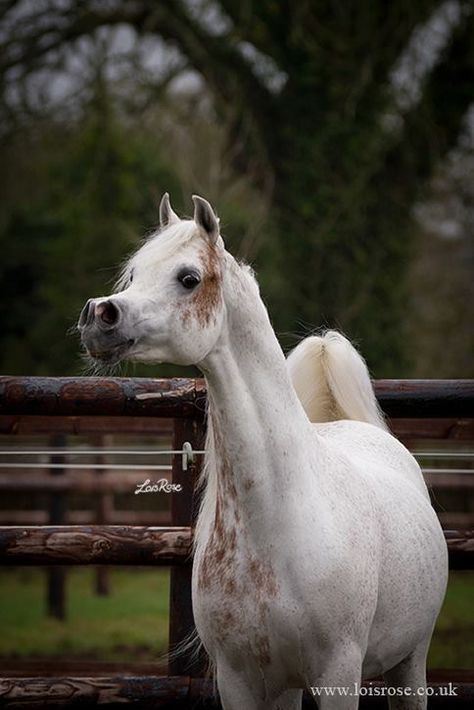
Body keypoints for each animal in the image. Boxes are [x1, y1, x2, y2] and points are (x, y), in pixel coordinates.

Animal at [78, 195, 448, 710]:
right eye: (134, 274)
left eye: (189, 278)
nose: (99, 316)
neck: (277, 523)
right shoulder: (243, 681)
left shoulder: (339, 674)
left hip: (410, 662)